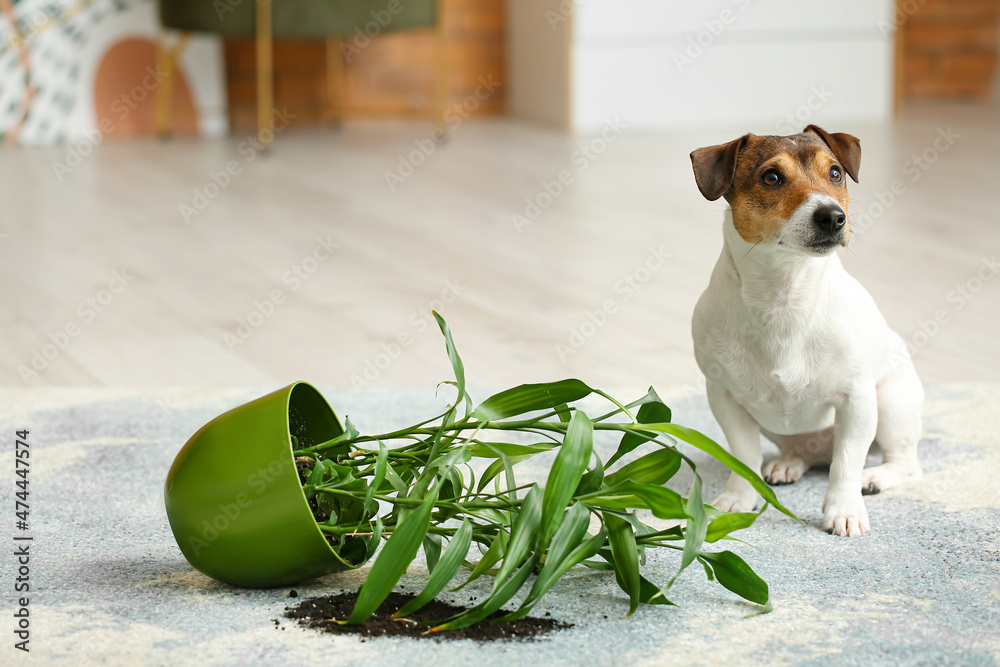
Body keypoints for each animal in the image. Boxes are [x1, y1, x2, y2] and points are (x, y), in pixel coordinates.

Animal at [688, 125, 920, 536]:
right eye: (771, 177)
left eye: (835, 173)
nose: (833, 216)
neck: (785, 292)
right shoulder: (725, 398)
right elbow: (743, 456)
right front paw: (738, 498)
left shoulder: (857, 399)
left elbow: (846, 463)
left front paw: (844, 510)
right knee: (804, 453)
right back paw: (788, 464)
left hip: (891, 403)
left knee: (901, 461)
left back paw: (874, 477)